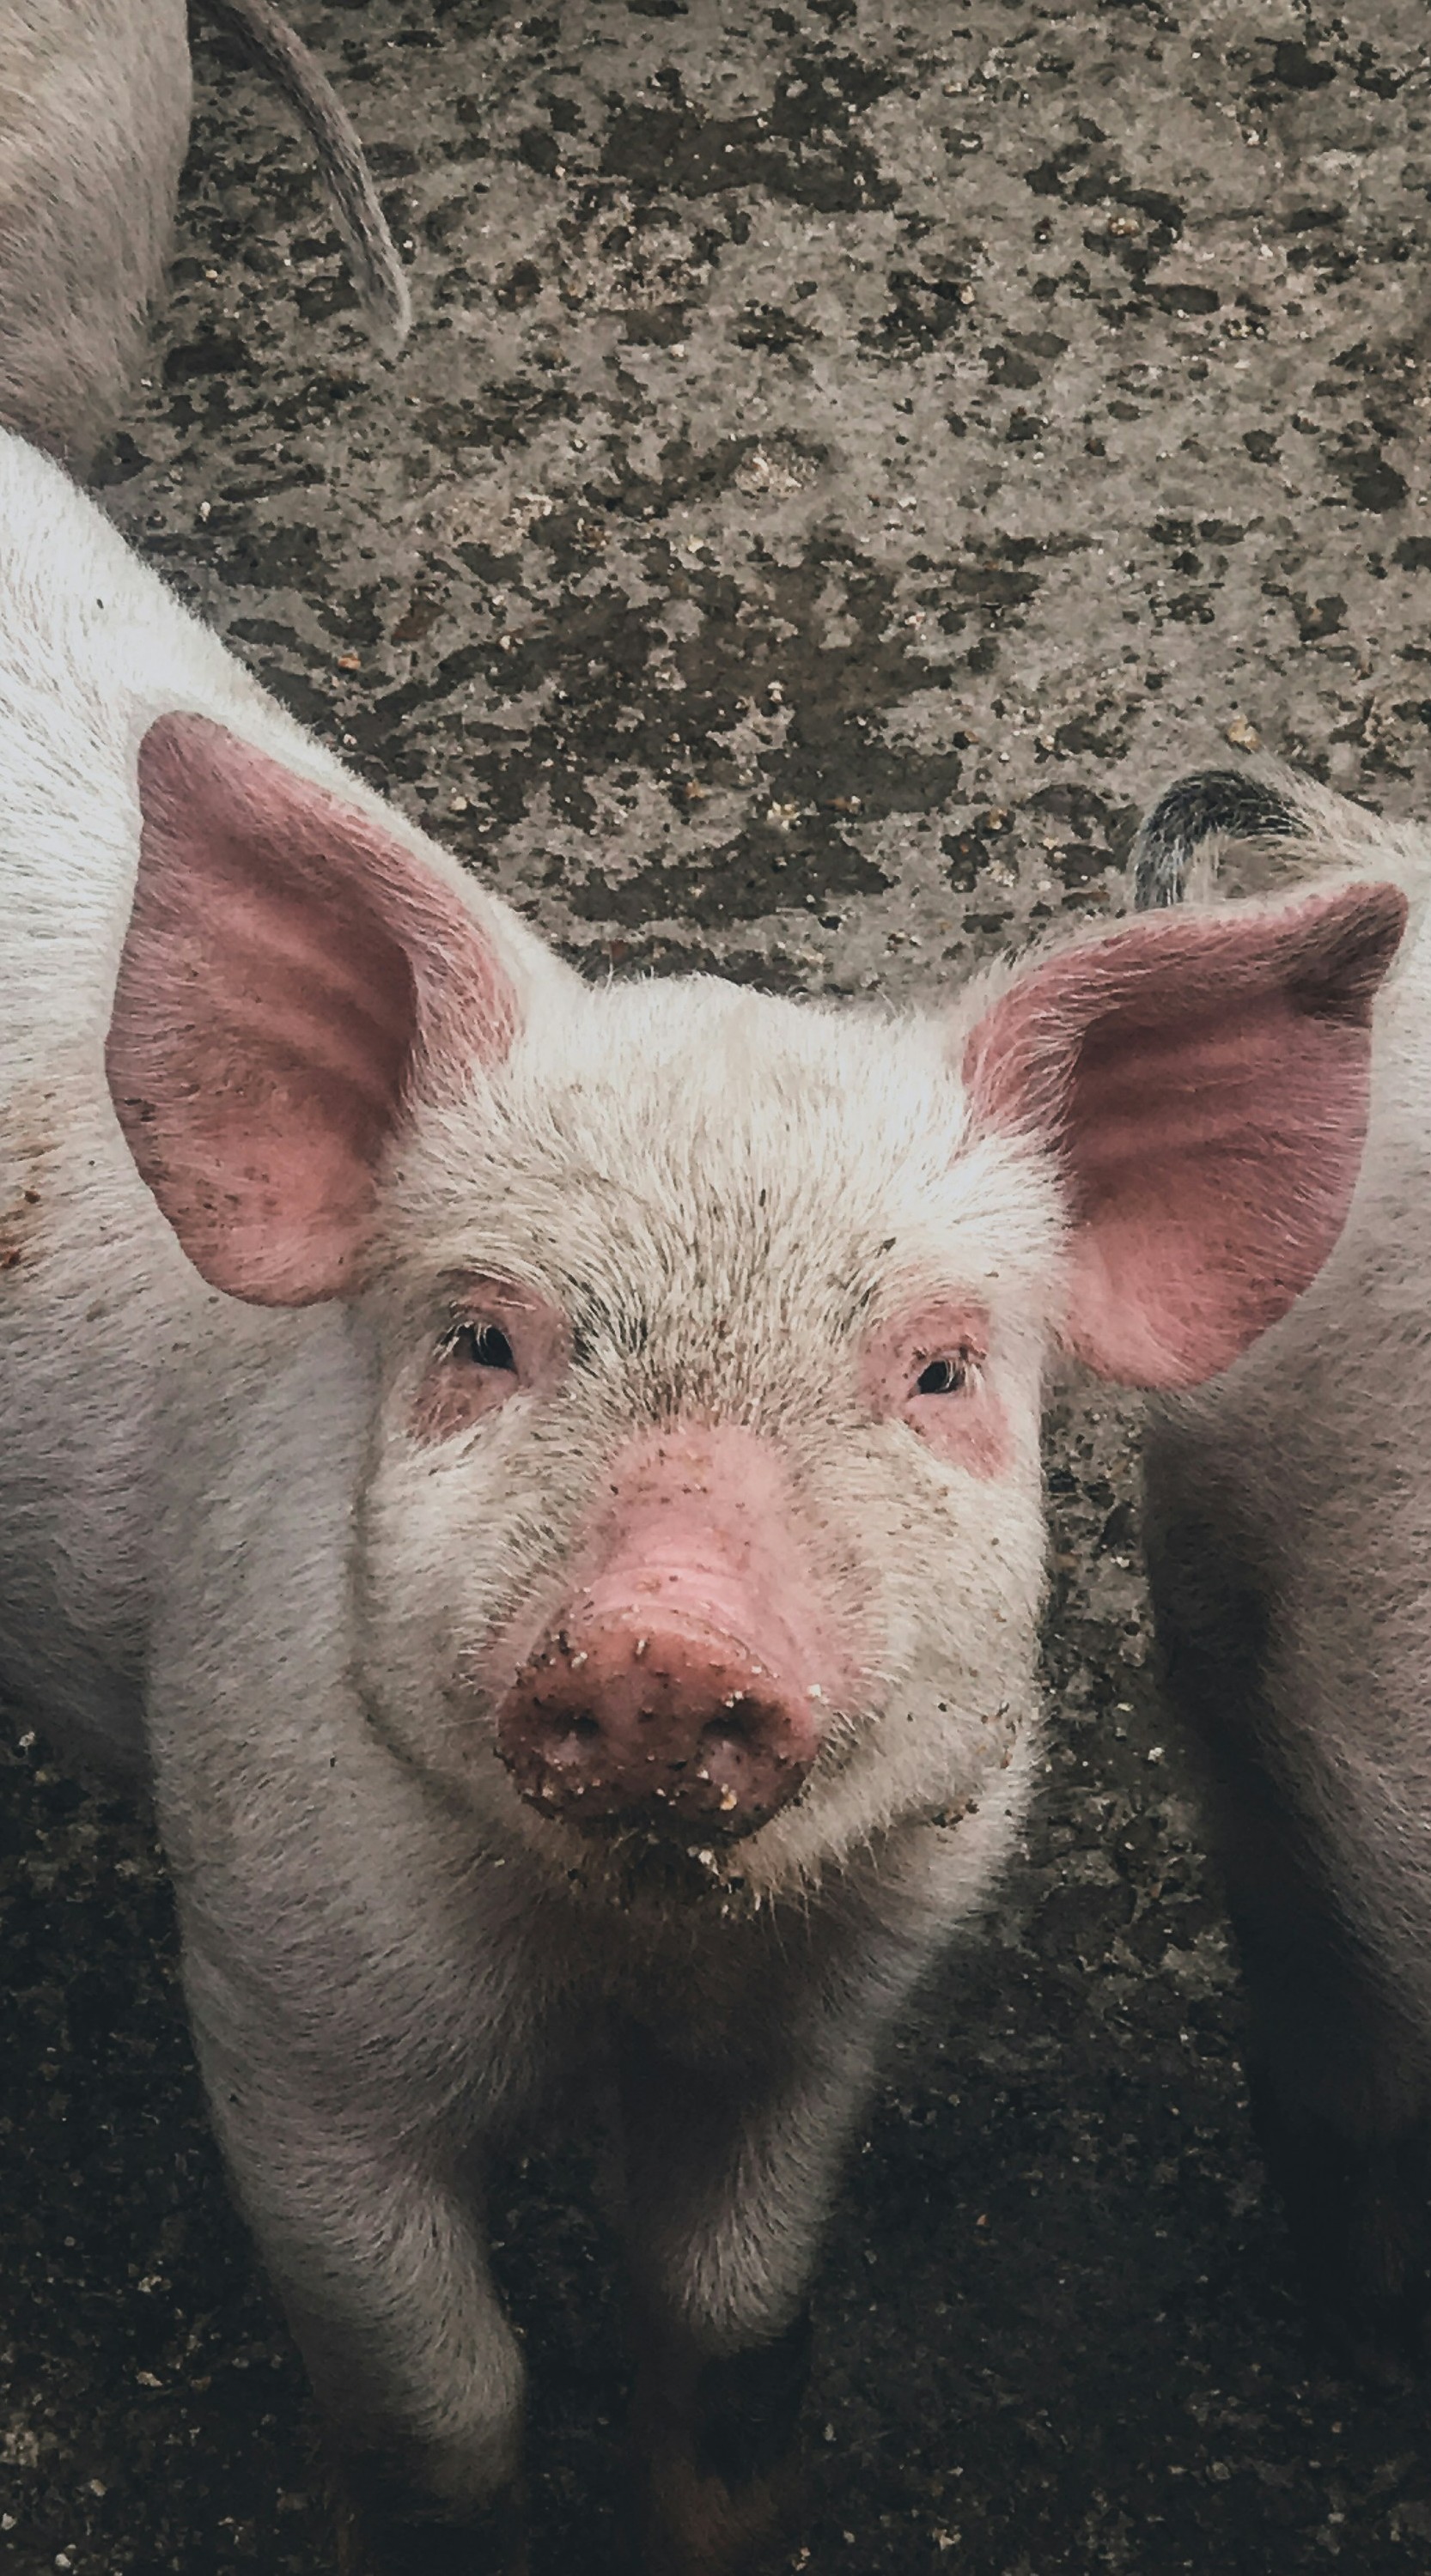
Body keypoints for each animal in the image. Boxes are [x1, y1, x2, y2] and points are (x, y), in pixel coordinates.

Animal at [0, 424, 1407, 2572]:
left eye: (936, 1371)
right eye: (481, 1335)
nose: (661, 1634)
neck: (631, 1965)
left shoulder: (824, 2020)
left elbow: (736, 2331)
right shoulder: (276, 1991)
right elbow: (439, 2402)